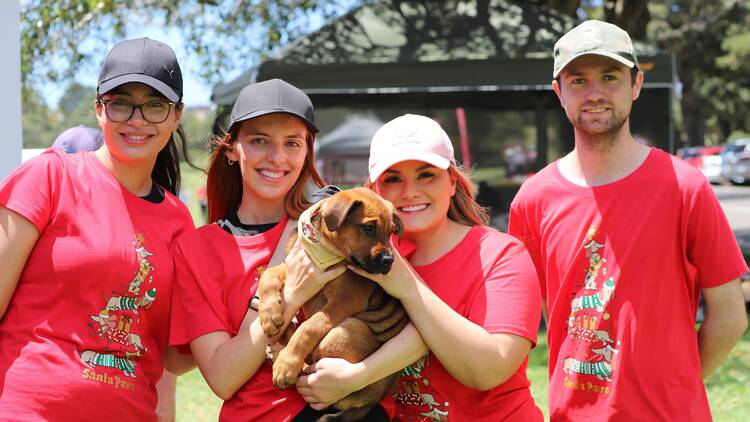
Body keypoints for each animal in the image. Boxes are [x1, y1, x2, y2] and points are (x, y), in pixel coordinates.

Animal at [258, 189, 412, 422]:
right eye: (368, 227)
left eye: (391, 232)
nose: (389, 261)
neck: (325, 249)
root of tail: (368, 404)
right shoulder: (294, 267)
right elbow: (269, 274)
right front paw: (269, 316)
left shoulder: (346, 299)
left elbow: (310, 326)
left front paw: (287, 364)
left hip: (341, 332)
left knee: (311, 370)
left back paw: (280, 355)